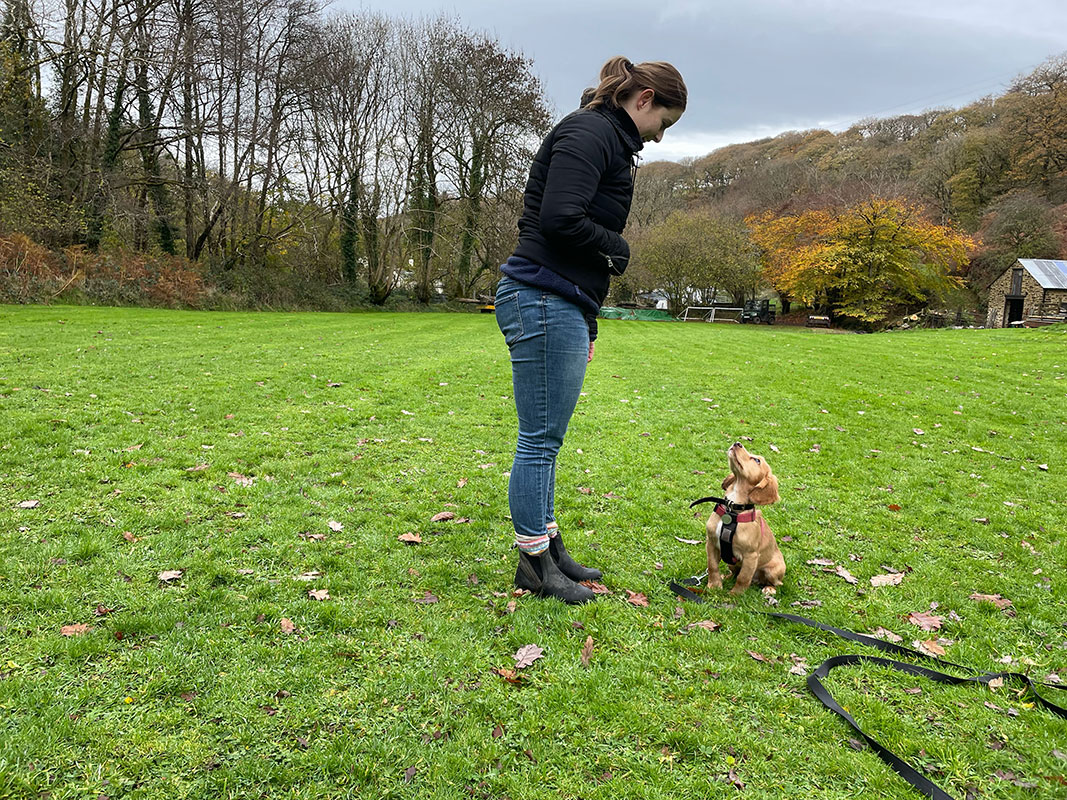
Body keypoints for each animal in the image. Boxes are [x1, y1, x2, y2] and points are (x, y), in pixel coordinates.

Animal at [708, 445, 785, 597]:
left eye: (757, 460)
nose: (737, 443)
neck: (732, 510)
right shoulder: (712, 542)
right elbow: (712, 566)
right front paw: (714, 586)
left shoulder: (751, 556)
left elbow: (743, 578)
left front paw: (735, 595)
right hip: (732, 563)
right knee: (734, 573)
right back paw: (726, 577)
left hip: (773, 570)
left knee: (777, 583)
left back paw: (769, 589)